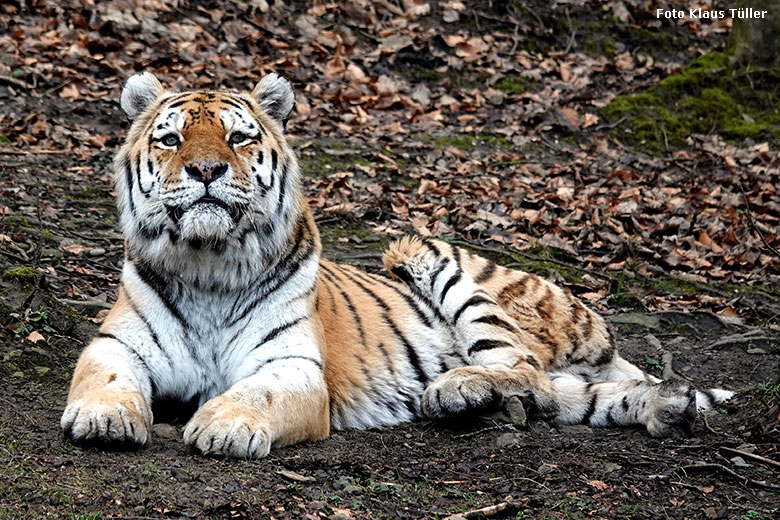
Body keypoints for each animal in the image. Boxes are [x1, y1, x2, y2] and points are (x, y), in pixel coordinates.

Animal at [59, 74, 732, 460]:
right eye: (172, 140)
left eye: (239, 138)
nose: (205, 170)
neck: (209, 263)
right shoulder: (116, 345)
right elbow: (104, 379)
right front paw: (103, 418)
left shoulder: (294, 367)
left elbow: (258, 391)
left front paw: (224, 425)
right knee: (572, 395)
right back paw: (665, 407)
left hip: (425, 252)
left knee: (526, 368)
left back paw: (456, 389)